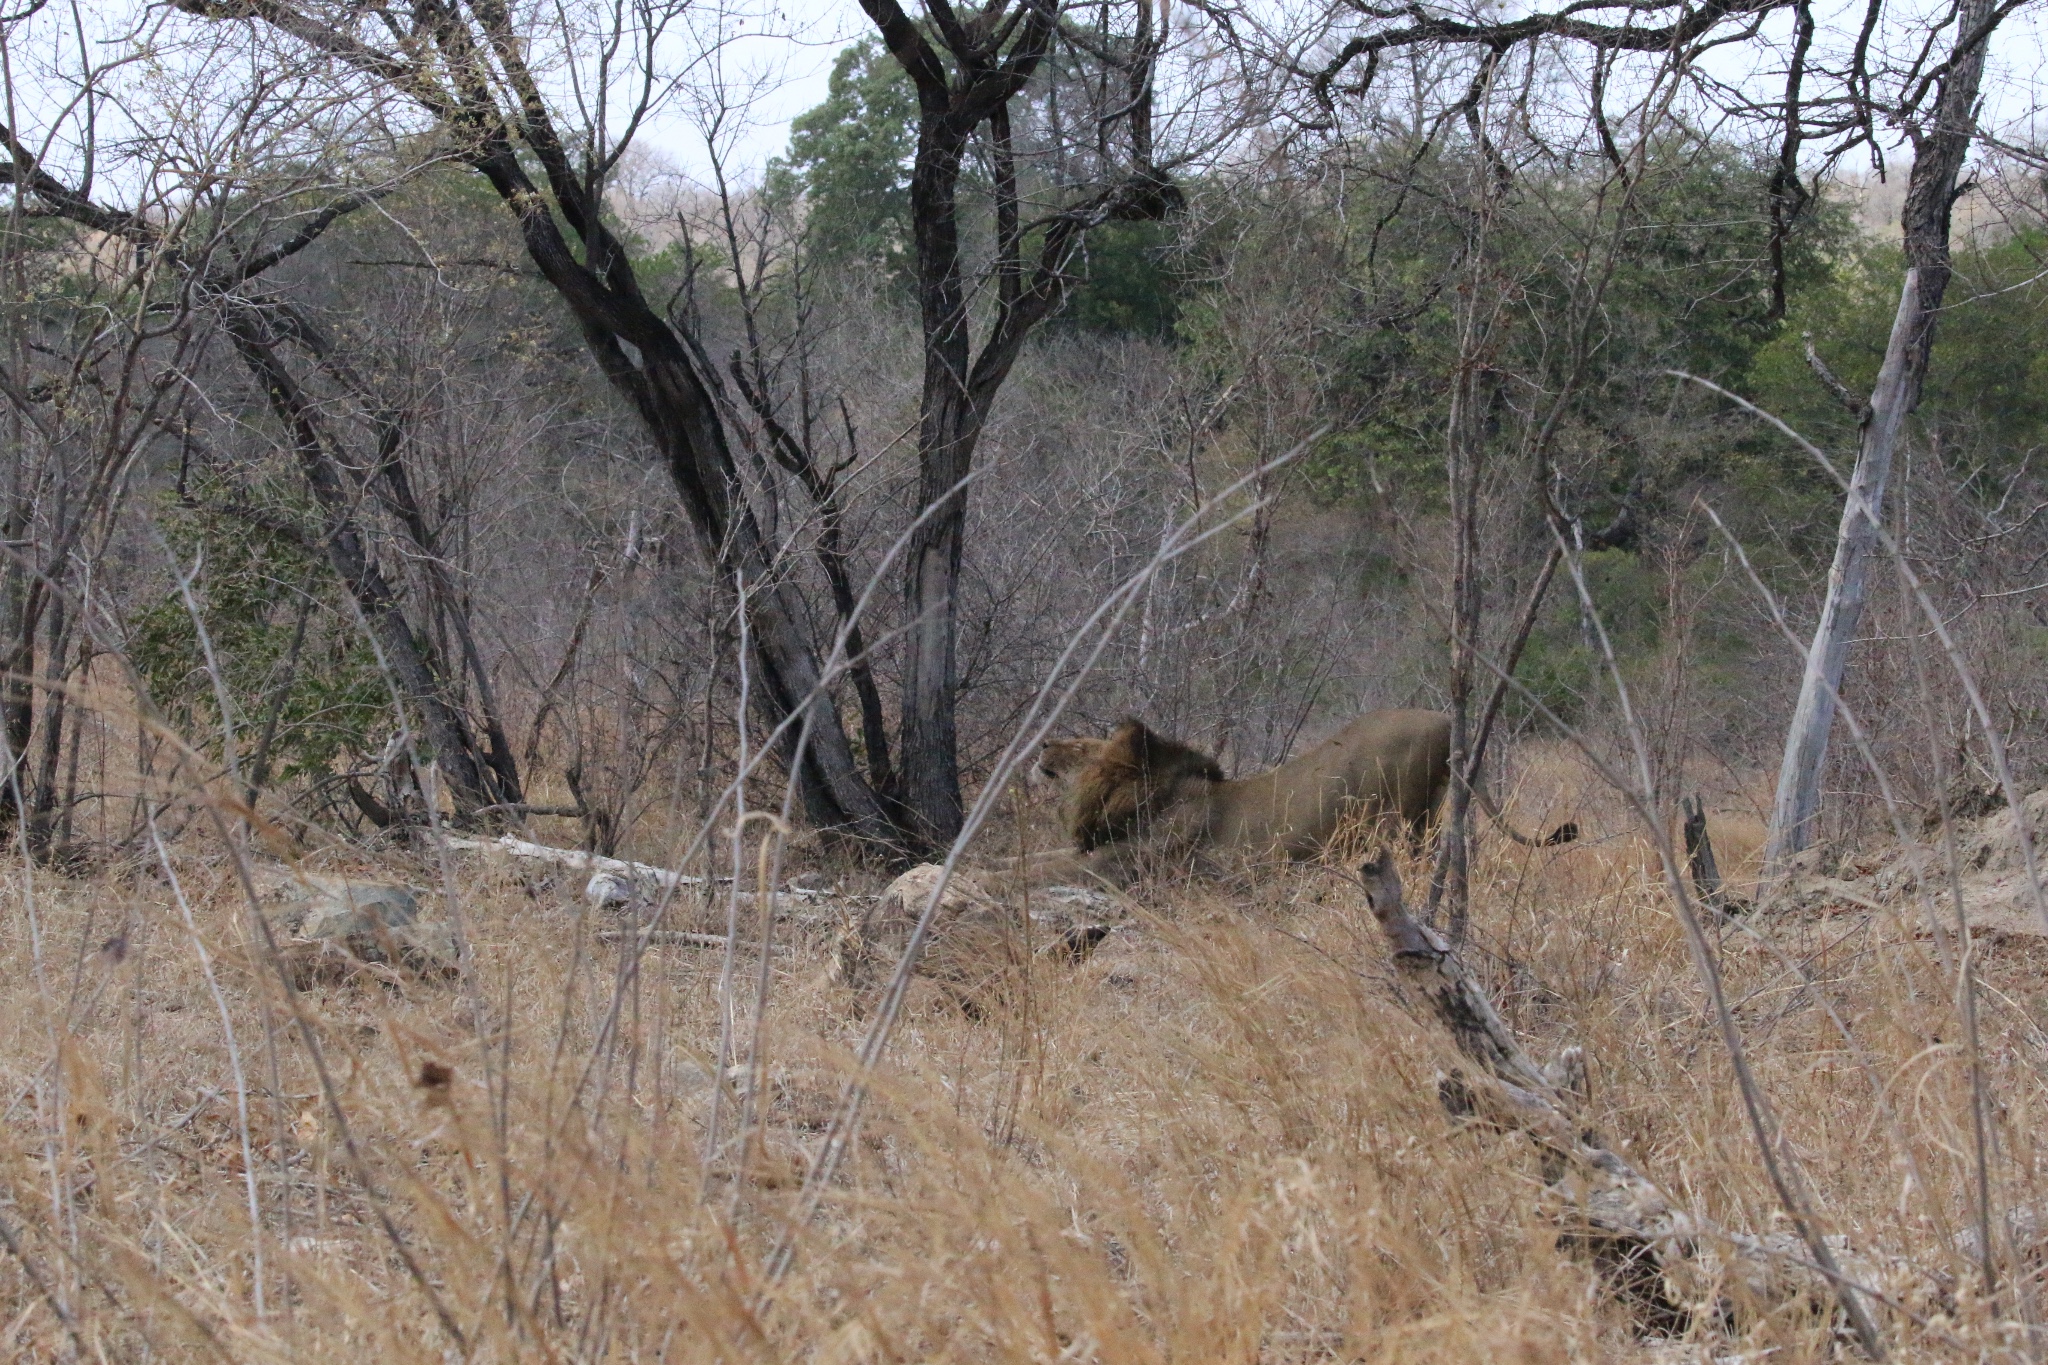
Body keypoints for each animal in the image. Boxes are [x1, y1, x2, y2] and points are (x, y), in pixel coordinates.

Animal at [1015, 703, 1572, 888]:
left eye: (1082, 747)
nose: (1042, 744)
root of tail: (1448, 721)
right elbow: (1036, 858)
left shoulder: (1140, 860)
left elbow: (1044, 869)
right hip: (1431, 812)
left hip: (1397, 816)